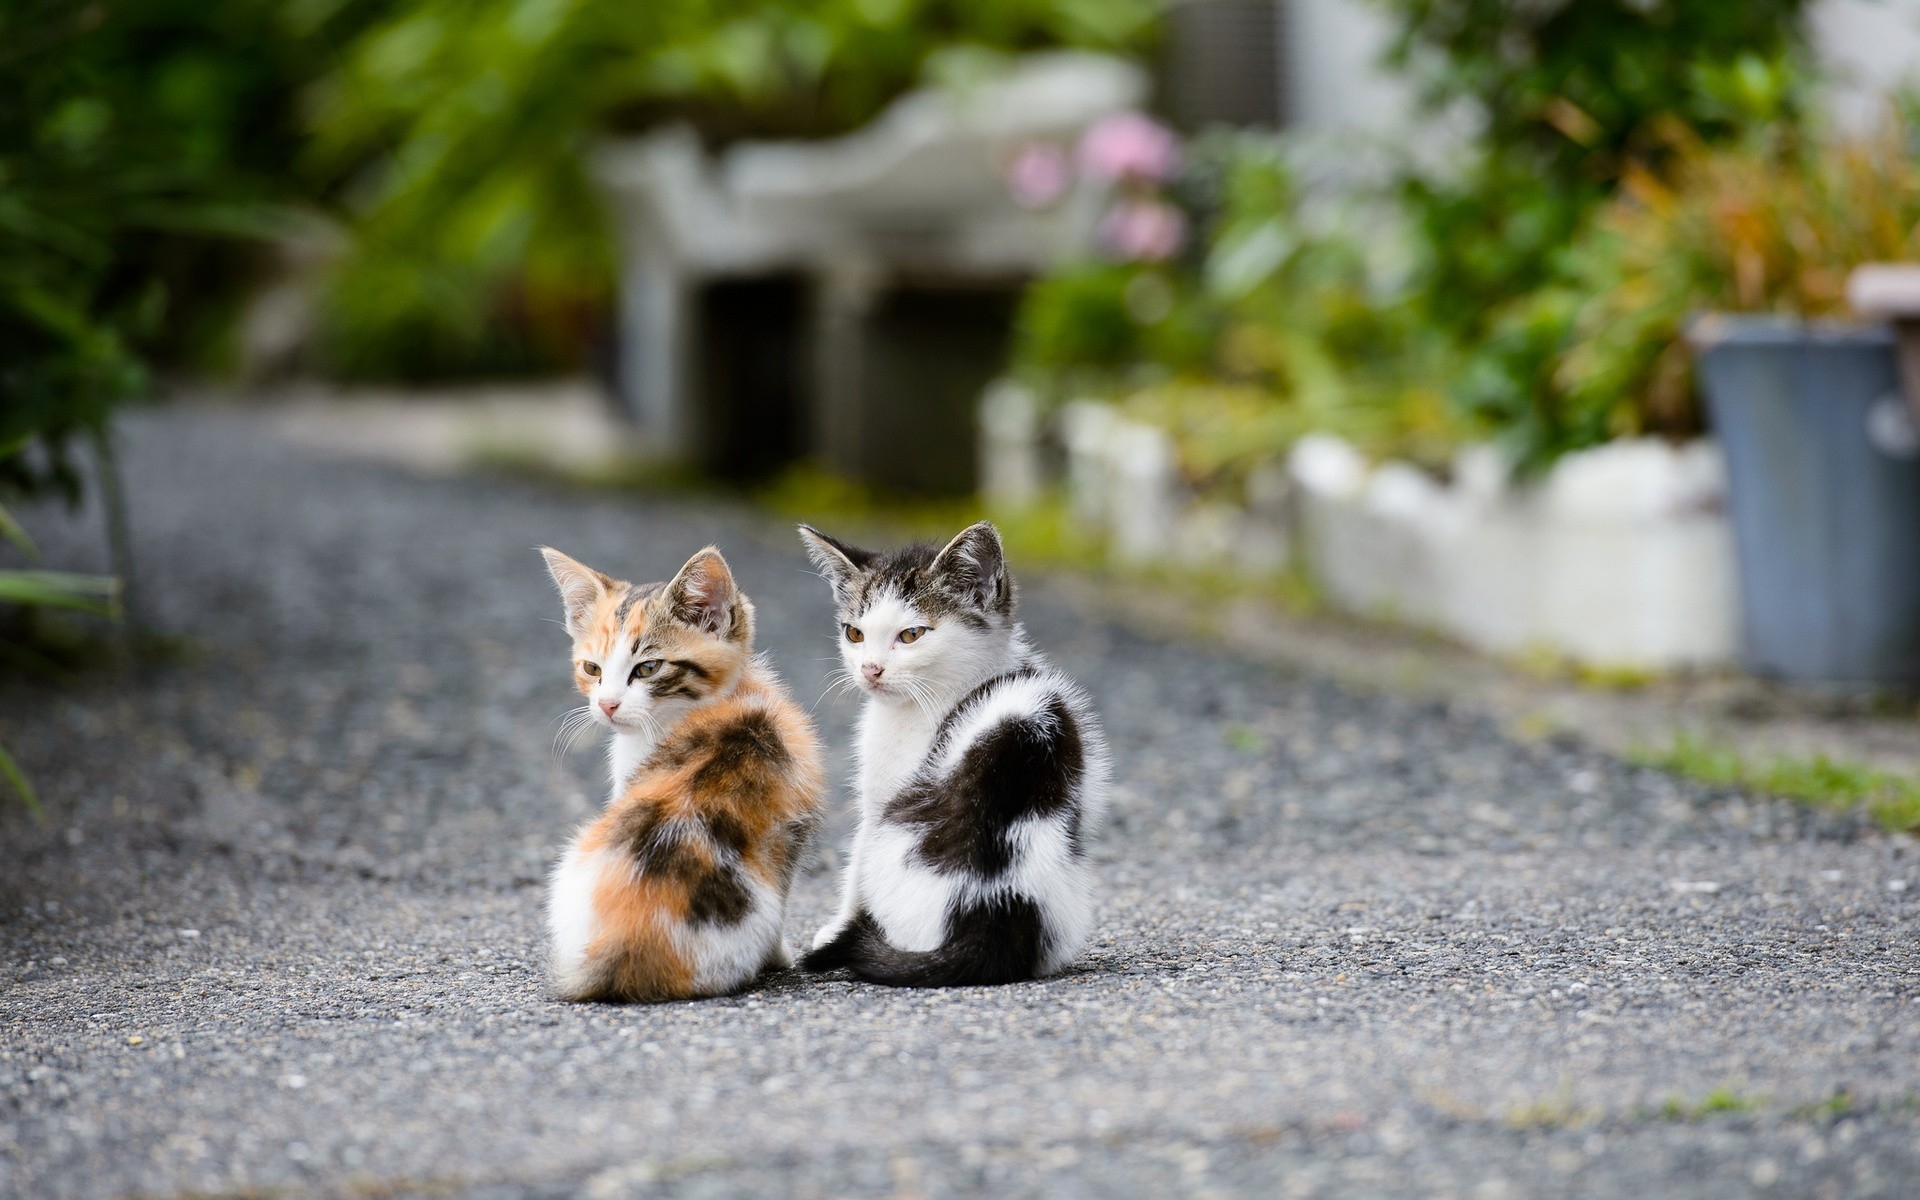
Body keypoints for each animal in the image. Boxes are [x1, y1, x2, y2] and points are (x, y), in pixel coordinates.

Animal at [537, 549, 821, 998]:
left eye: (648, 668)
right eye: (592, 669)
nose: (607, 705)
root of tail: (626, 945)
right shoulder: (791, 829)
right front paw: (780, 956)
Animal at [794, 522, 1113, 983]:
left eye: (911, 634)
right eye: (854, 633)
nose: (869, 669)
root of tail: (994, 905)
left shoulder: (881, 800)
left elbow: (855, 866)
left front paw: (835, 927)